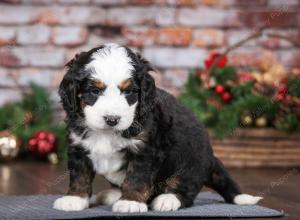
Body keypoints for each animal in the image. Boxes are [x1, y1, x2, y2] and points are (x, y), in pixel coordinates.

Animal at [54, 43, 262, 212]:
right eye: (94, 91)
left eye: (129, 92)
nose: (112, 119)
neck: (108, 133)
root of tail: (211, 157)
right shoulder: (78, 146)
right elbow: (80, 175)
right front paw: (75, 199)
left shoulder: (146, 150)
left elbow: (137, 177)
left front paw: (131, 201)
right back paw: (112, 194)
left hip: (190, 161)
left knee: (186, 189)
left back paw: (167, 199)